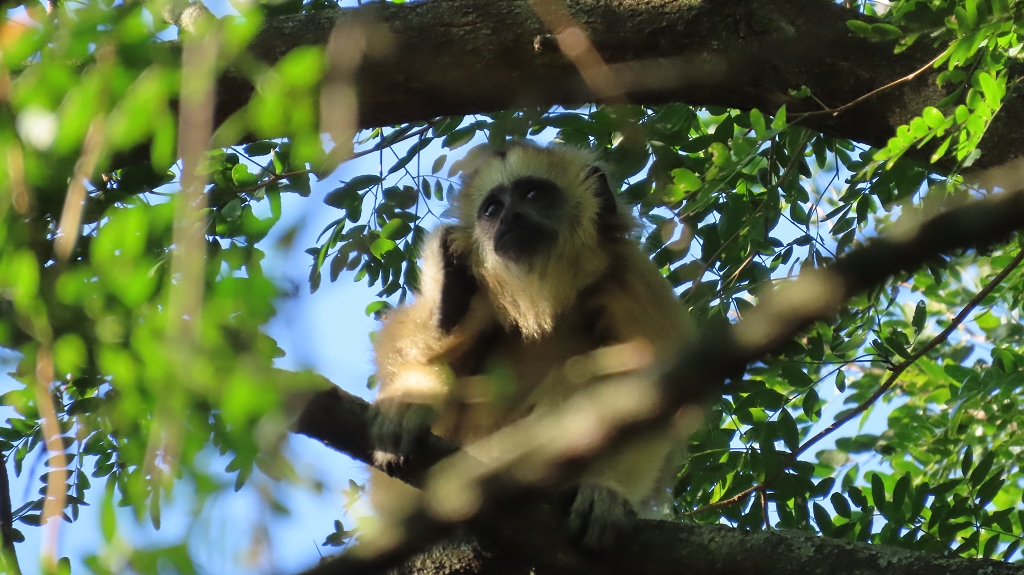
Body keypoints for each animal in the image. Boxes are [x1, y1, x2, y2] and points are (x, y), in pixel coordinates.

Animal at [369, 141, 692, 550]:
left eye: (533, 194)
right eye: (492, 209)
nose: (511, 217)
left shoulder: (633, 278)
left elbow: (654, 394)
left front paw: (607, 489)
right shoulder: (485, 292)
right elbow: (403, 352)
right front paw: (411, 400)